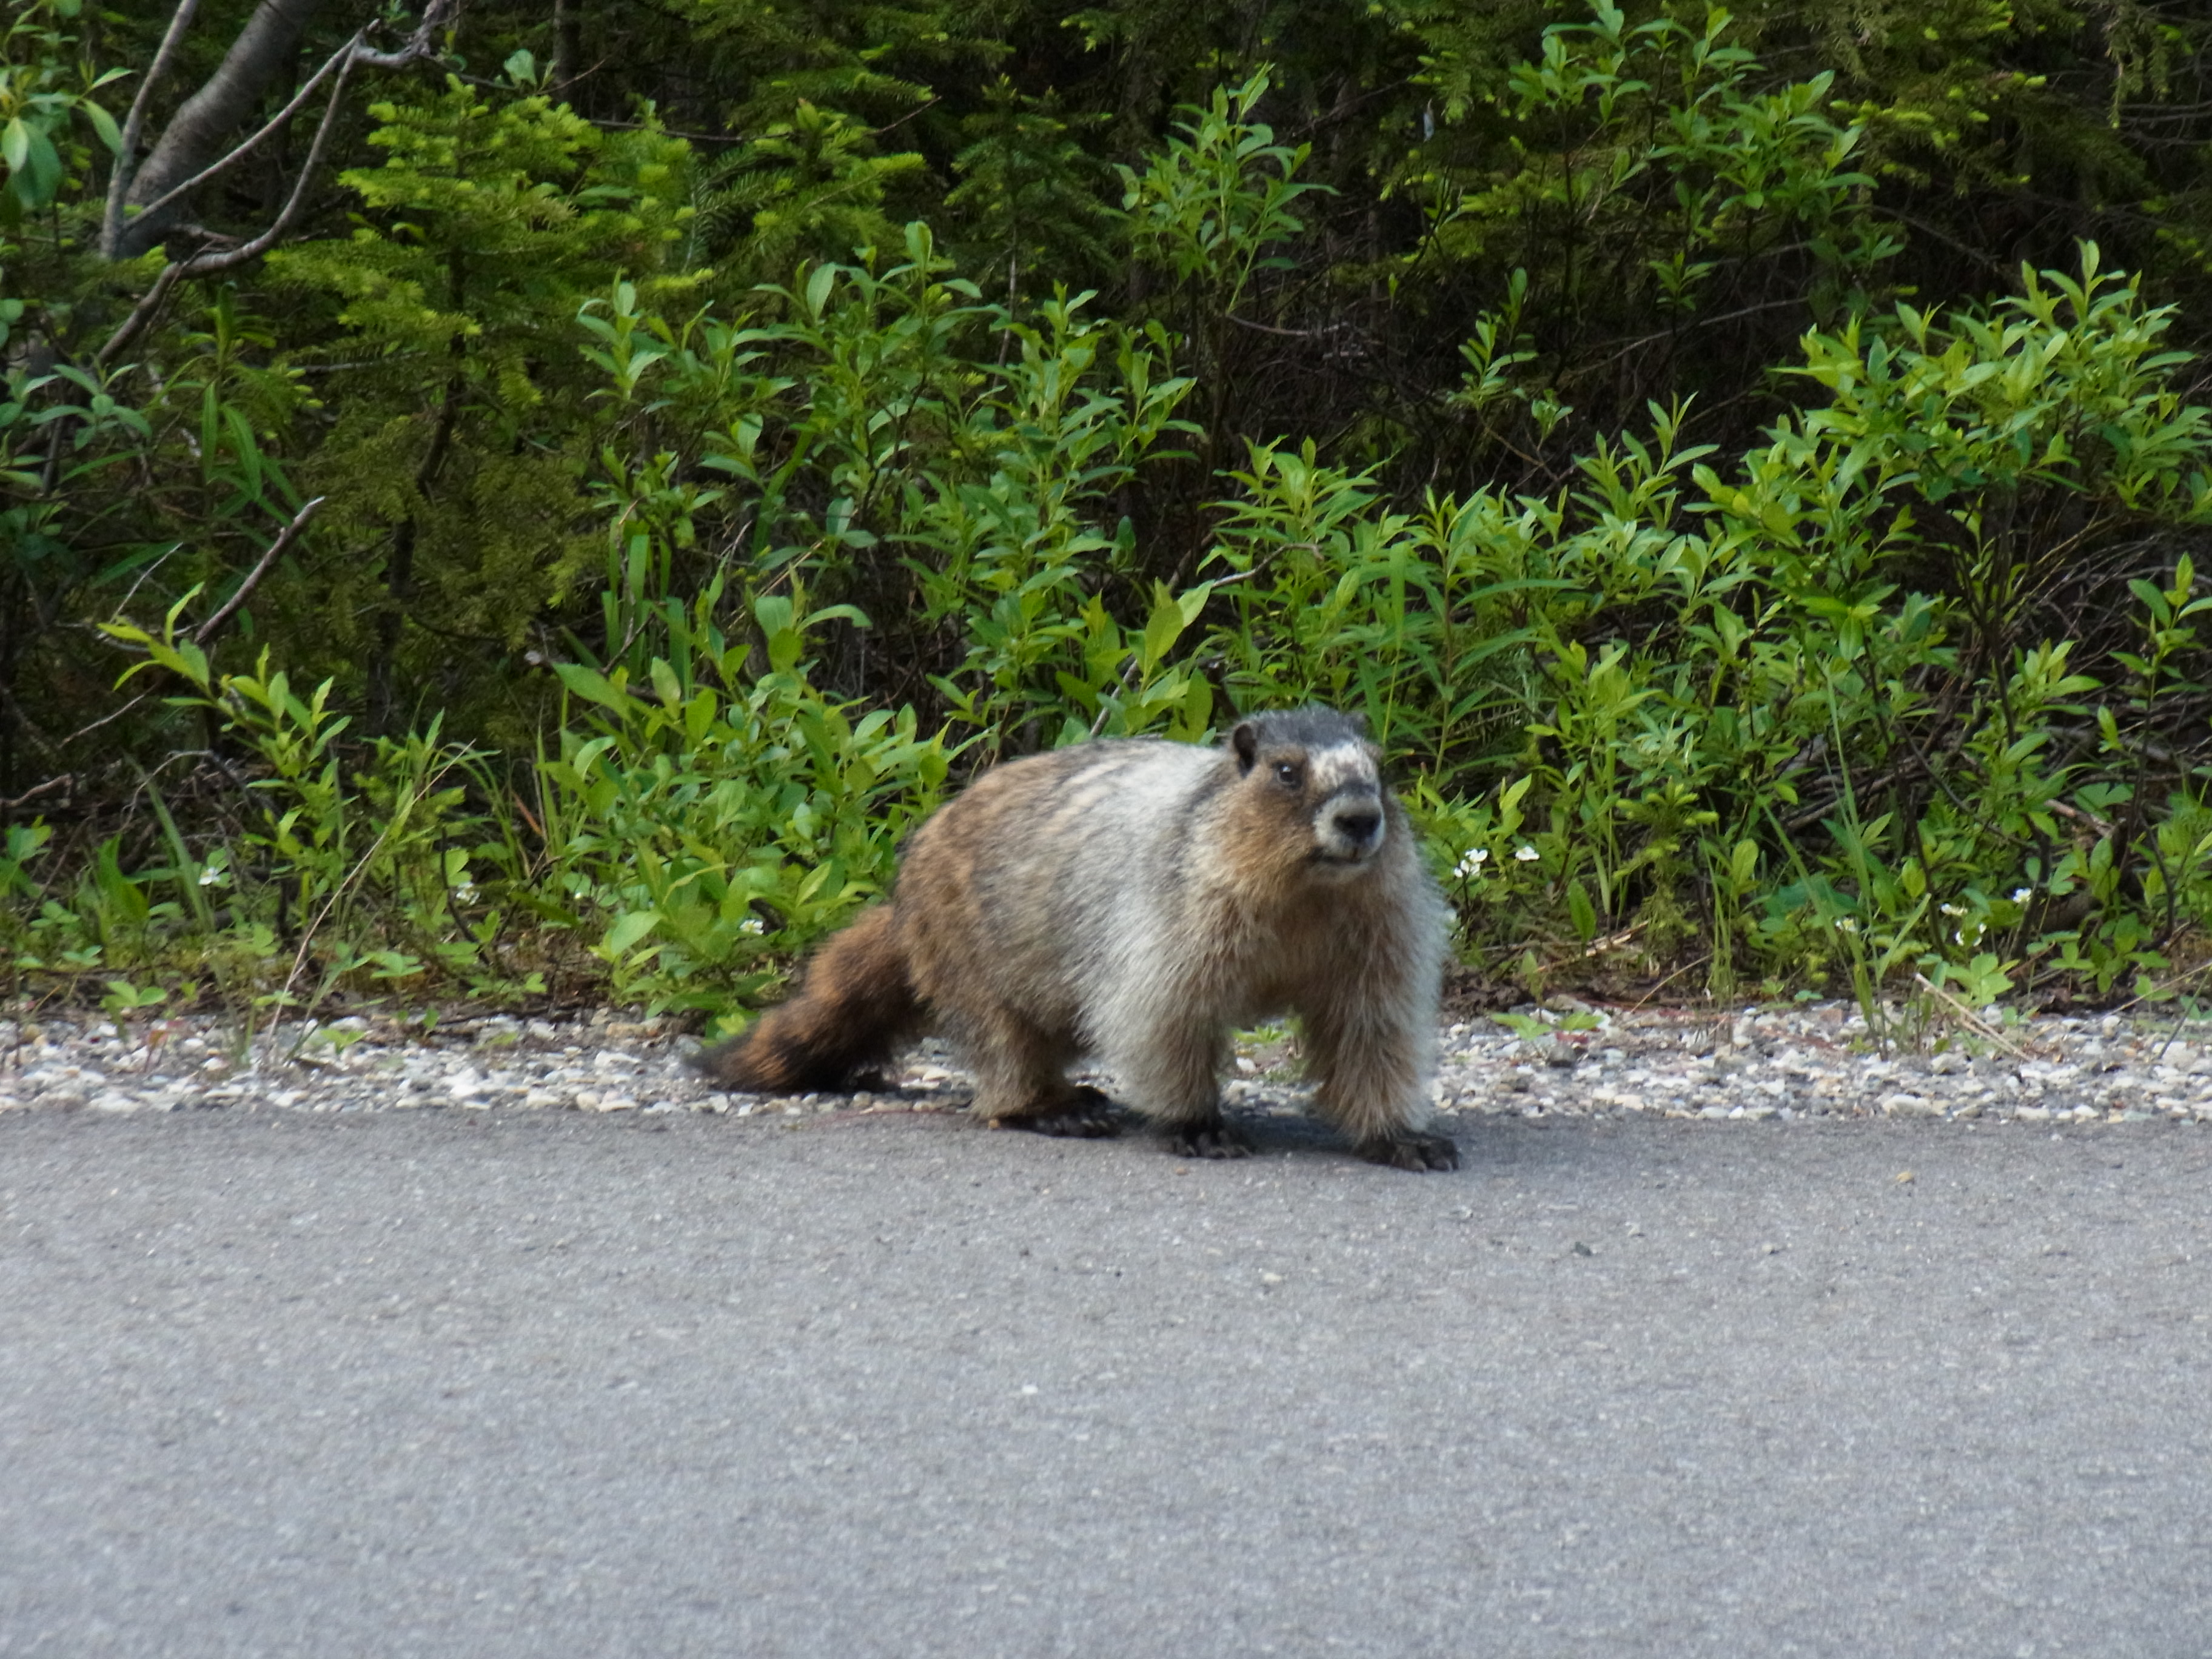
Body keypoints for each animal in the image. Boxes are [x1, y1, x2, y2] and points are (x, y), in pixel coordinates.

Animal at [693, 707, 1457, 1170]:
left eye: (1380, 769)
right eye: (1288, 771)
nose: (1360, 817)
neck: (1305, 897)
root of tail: (900, 901)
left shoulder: (1382, 928)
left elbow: (1373, 1024)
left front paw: (1405, 1138)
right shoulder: (1176, 916)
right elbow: (1163, 1012)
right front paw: (1200, 1126)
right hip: (971, 958)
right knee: (1004, 1051)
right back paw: (1059, 1109)